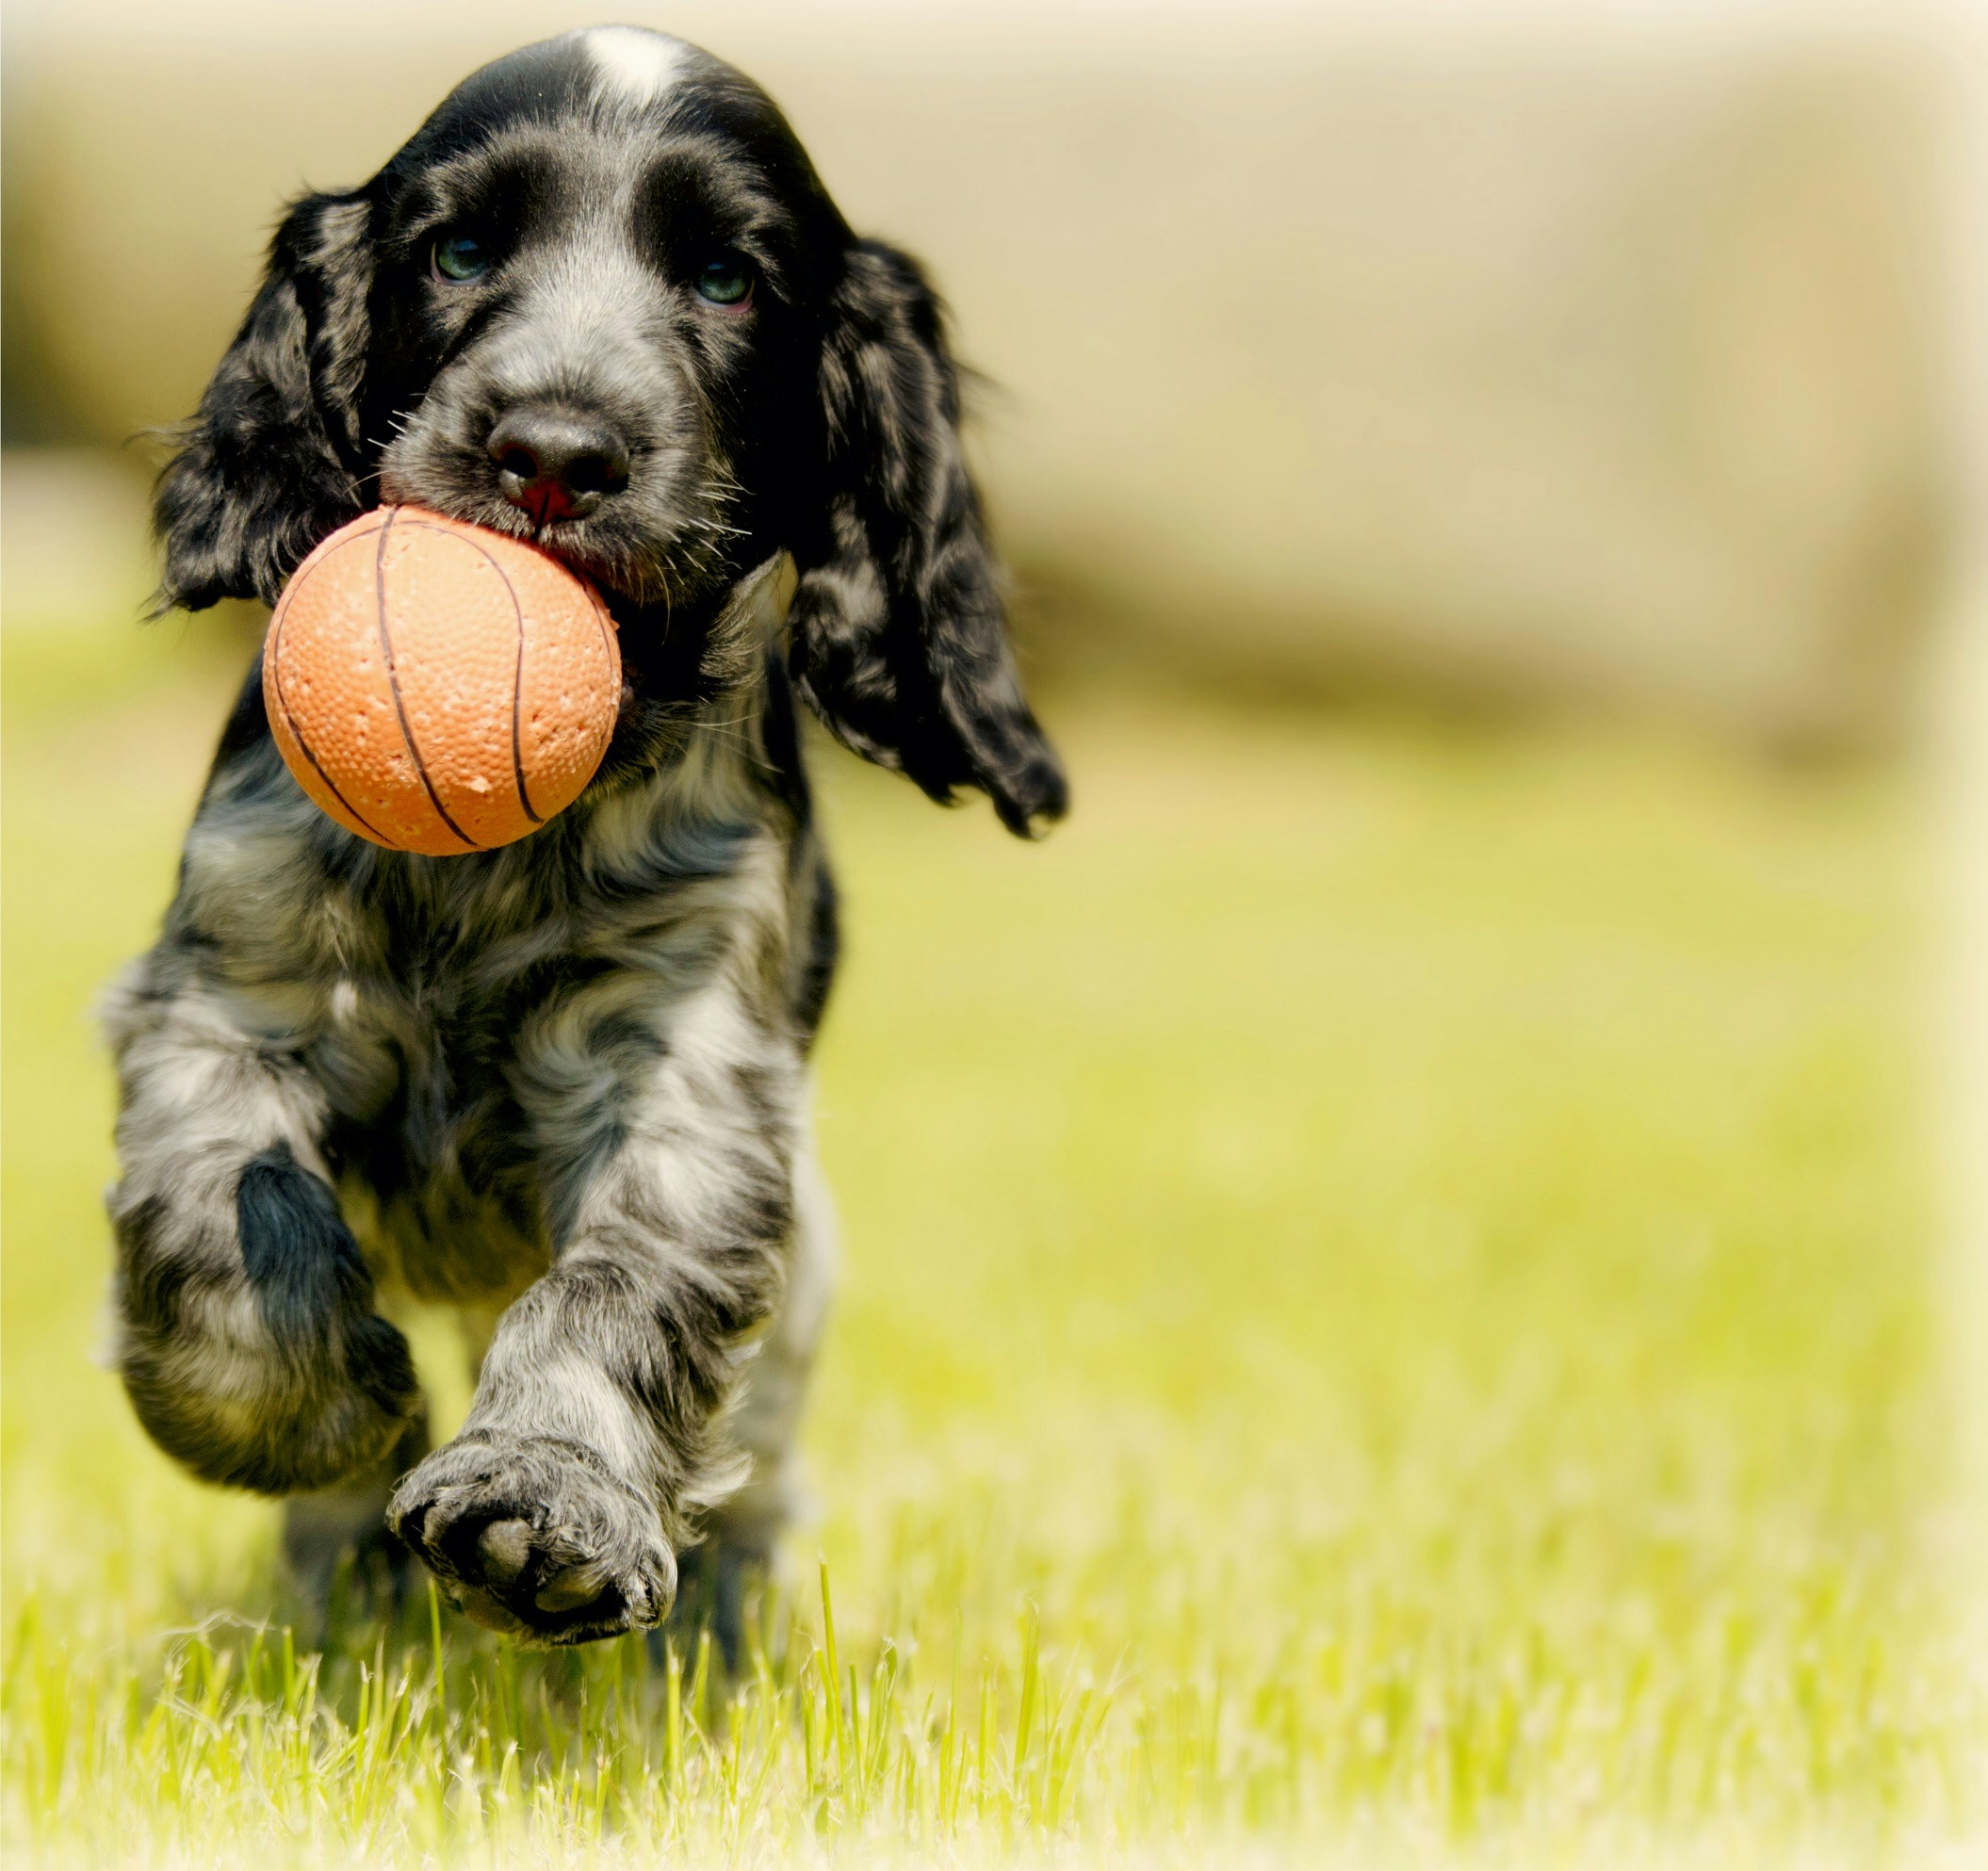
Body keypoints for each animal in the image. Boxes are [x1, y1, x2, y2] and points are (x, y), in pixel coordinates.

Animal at [105, 22, 1073, 1646]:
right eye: (458, 251)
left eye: (727, 279)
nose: (553, 450)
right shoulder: (231, 980)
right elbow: (220, 1199)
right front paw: (303, 1413)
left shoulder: (685, 1059)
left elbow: (619, 1283)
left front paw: (544, 1501)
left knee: (759, 1454)